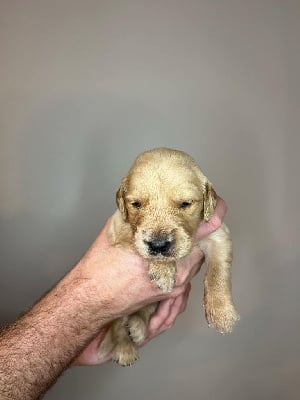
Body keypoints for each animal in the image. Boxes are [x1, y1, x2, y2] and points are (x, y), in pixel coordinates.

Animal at [98, 148, 239, 366]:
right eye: (136, 204)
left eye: (186, 204)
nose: (158, 245)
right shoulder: (120, 231)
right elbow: (137, 243)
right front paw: (163, 270)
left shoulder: (218, 234)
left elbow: (217, 273)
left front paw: (221, 313)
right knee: (117, 325)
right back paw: (125, 349)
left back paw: (137, 327)